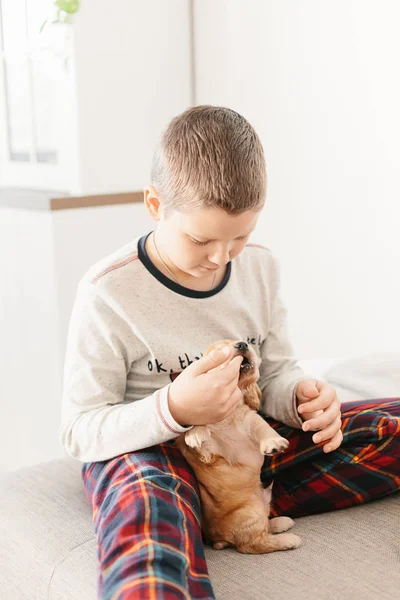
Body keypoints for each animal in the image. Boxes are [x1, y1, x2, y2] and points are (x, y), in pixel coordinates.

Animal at [174, 340, 300, 556]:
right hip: (250, 512)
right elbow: (200, 427)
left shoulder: (252, 420)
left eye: (245, 342)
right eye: (219, 351)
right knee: (251, 544)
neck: (229, 415)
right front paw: (195, 433)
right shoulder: (211, 452)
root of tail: (219, 540)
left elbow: (264, 430)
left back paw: (282, 523)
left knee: (262, 530)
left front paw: (273, 443)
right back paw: (288, 539)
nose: (242, 344)